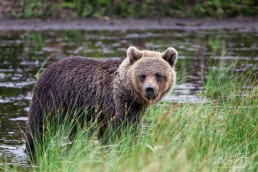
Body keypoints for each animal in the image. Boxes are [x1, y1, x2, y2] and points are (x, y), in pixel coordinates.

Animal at [25, 46, 177, 153]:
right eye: (142, 75)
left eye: (158, 75)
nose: (150, 89)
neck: (128, 93)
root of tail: (46, 70)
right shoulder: (113, 105)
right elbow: (115, 131)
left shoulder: (133, 110)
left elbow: (131, 129)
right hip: (52, 99)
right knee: (39, 127)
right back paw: (33, 146)